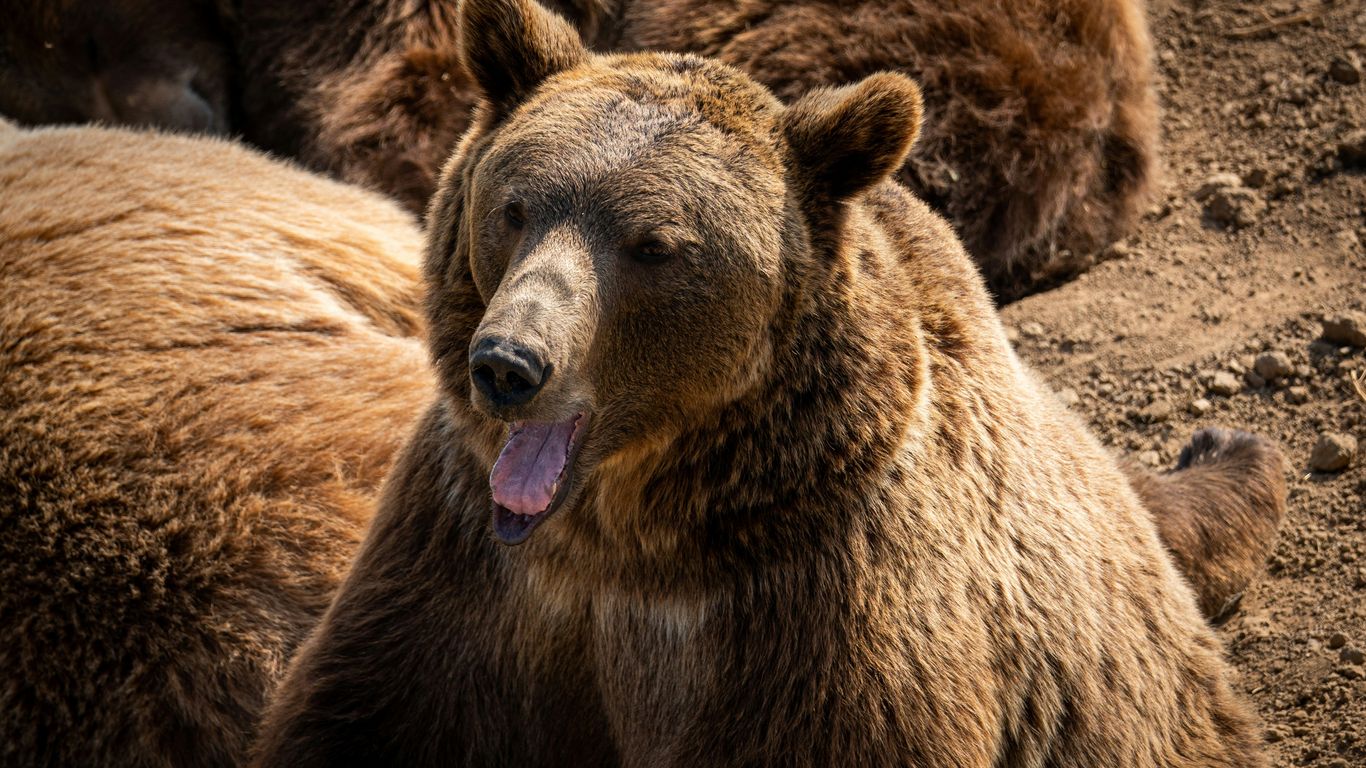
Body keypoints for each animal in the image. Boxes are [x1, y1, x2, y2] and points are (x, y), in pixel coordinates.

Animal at [249, 1, 1269, 765]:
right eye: (515, 205)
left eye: (654, 245)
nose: (507, 364)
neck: (625, 540)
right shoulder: (465, 569)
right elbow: (362, 713)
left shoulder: (818, 618)